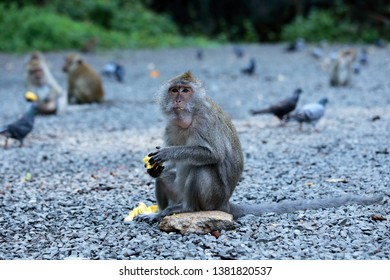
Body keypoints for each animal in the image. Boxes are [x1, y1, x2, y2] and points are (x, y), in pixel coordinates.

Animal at [141, 71, 384, 222]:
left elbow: (213, 154)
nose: (178, 100)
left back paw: (186, 209)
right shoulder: (170, 126)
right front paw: (156, 167)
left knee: (204, 169)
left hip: (213, 198)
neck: (188, 118)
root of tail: (226, 203)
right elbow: (171, 167)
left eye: (185, 91)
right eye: (174, 90)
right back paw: (161, 209)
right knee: (167, 179)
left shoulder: (205, 121)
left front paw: (167, 153)